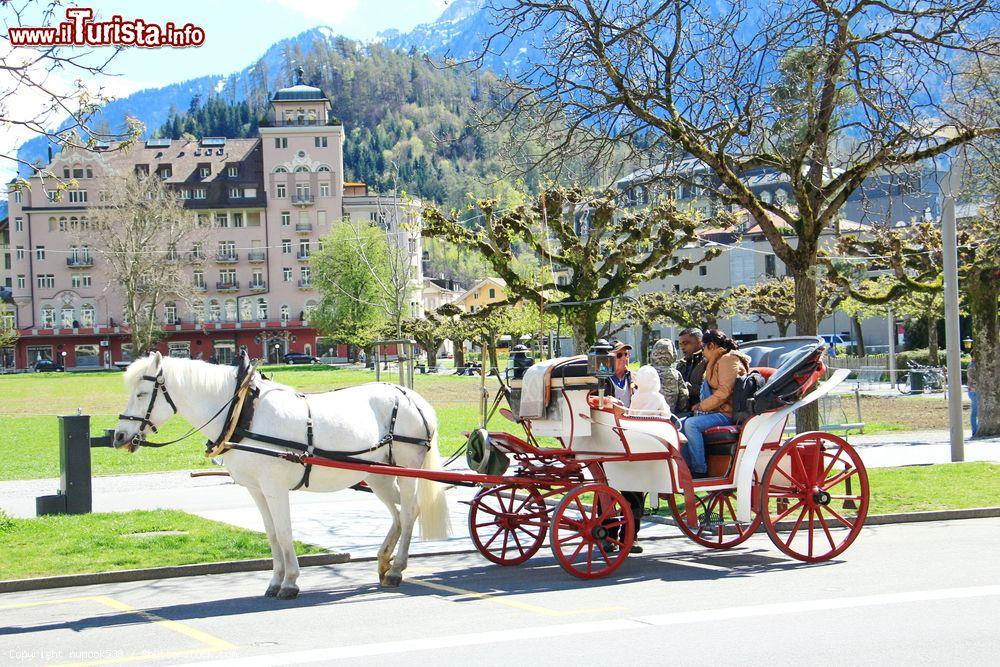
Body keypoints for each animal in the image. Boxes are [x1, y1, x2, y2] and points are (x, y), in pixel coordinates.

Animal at [112, 354, 450, 600]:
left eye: (142, 393)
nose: (118, 436)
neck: (242, 412)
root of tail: (412, 397)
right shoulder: (256, 489)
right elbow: (272, 535)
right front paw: (275, 581)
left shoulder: (275, 488)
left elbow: (286, 533)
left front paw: (290, 583)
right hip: (377, 474)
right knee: (397, 514)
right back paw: (383, 561)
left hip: (406, 469)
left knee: (409, 512)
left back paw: (396, 569)